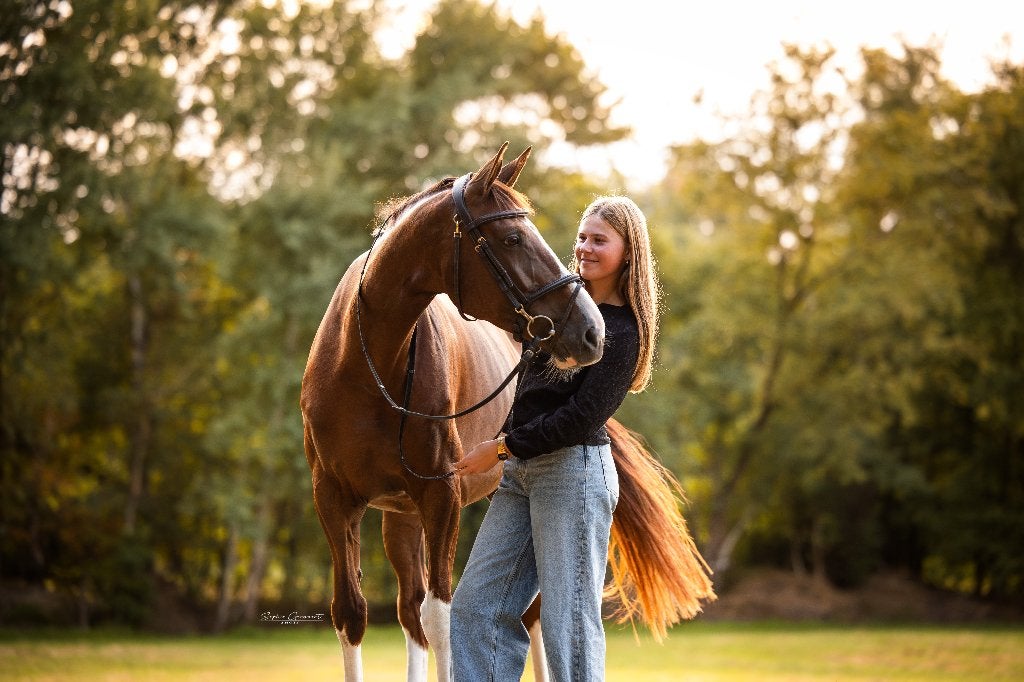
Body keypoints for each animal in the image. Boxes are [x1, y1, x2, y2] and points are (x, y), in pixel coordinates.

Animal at [301, 144, 715, 682]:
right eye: (514, 237)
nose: (593, 331)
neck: (366, 366)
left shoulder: (441, 496)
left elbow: (441, 617)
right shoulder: (333, 500)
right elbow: (353, 613)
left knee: (531, 614)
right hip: (401, 517)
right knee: (411, 609)